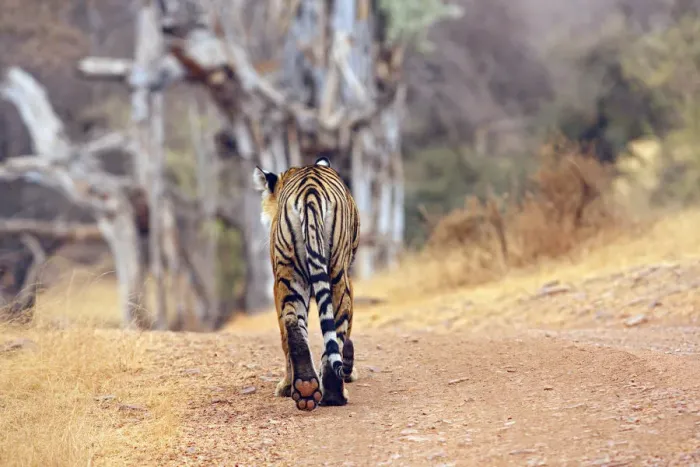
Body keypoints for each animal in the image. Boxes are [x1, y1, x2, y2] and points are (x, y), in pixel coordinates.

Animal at [252, 156, 360, 411]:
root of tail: (310, 193)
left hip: (289, 274)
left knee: (291, 322)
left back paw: (305, 387)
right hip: (336, 274)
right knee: (338, 330)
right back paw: (334, 394)